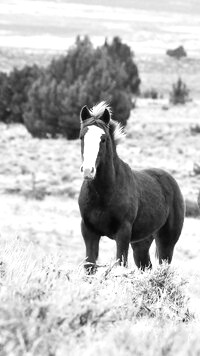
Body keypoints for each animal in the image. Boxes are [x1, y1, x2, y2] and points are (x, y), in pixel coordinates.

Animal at [77, 101, 184, 272]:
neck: (104, 194)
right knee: (146, 266)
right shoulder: (89, 232)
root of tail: (170, 180)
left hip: (166, 241)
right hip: (141, 243)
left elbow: (120, 264)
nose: (88, 170)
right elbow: (90, 266)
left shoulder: (123, 233)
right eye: (82, 137)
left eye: (103, 139)